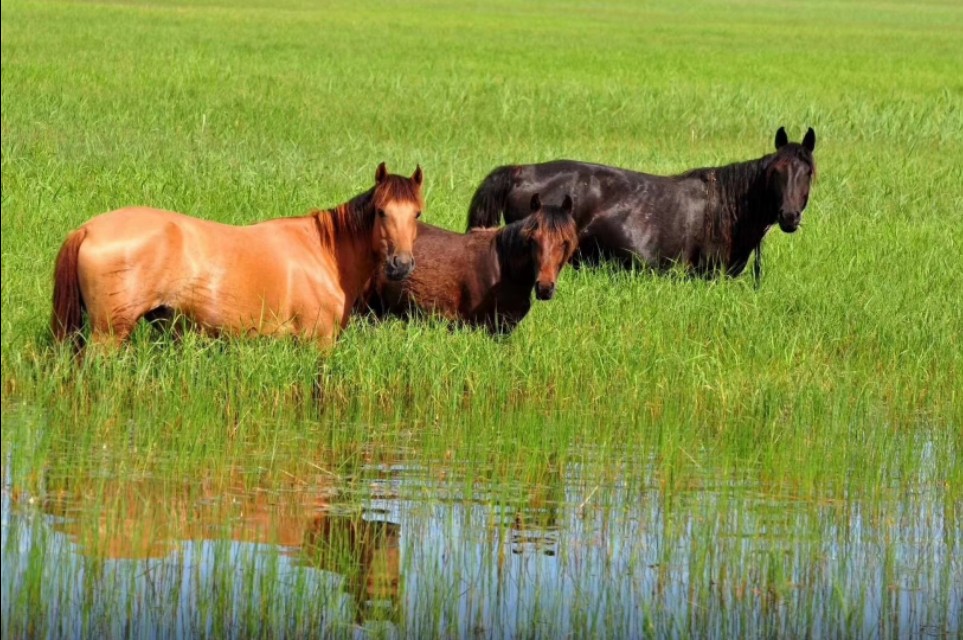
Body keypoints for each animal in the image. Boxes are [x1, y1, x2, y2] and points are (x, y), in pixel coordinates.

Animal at [52, 162, 426, 348]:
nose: (401, 264)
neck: (325, 254)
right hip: (108, 335)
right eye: (381, 212)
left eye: (417, 214)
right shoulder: (317, 341)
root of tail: (88, 229)